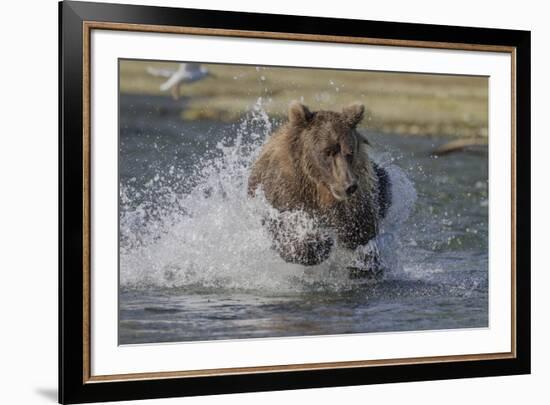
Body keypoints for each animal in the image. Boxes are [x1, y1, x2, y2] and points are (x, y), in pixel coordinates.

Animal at [250, 101, 392, 274]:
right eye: (327, 151)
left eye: (349, 152)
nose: (349, 186)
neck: (319, 188)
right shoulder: (286, 190)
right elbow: (283, 225)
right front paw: (319, 243)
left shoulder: (359, 197)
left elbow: (361, 230)